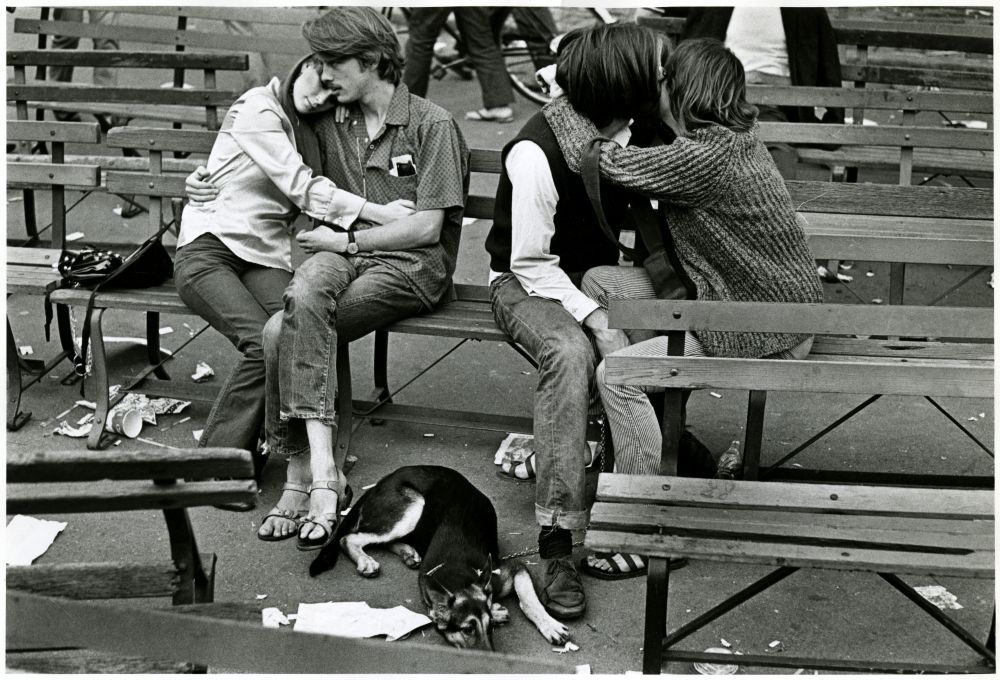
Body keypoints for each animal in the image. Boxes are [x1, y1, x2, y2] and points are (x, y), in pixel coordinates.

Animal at [308, 464, 568, 652]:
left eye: (490, 629)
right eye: (467, 630)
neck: (456, 570)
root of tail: (381, 482)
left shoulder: (514, 568)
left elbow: (530, 601)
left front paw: (550, 626)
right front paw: (498, 609)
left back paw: (408, 553)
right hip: (413, 506)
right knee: (349, 538)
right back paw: (366, 561)